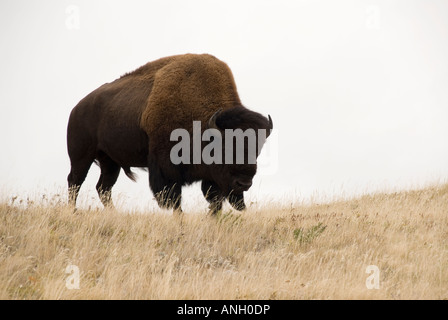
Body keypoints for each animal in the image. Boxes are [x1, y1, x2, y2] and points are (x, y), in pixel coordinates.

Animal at [65, 53, 272, 214]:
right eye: (225, 148)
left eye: (257, 150)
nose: (244, 184)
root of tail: (76, 108)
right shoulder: (166, 167)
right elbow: (174, 199)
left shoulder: (211, 177)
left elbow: (214, 200)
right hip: (81, 156)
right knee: (75, 181)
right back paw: (73, 211)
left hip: (110, 162)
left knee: (103, 188)